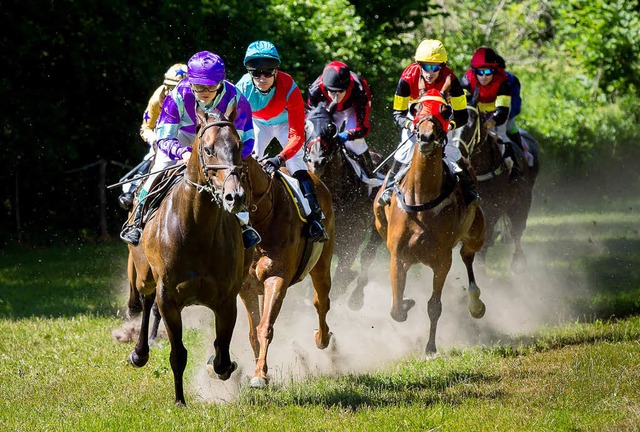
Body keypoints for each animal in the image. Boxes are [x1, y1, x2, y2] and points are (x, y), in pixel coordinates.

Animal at [126, 107, 251, 404]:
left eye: (239, 146)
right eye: (207, 149)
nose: (235, 196)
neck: (196, 230)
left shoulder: (227, 298)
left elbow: (222, 353)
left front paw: (222, 364)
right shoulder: (168, 297)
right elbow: (178, 354)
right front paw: (179, 400)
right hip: (145, 276)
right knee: (146, 301)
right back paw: (139, 352)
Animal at [239, 155, 336, 388]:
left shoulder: (278, 278)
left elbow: (265, 326)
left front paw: (260, 375)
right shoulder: (246, 287)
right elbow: (253, 332)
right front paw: (259, 370)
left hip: (321, 263)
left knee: (322, 302)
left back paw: (322, 338)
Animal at [304, 103, 384, 308]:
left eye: (331, 128)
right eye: (305, 127)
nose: (316, 161)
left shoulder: (352, 240)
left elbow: (341, 277)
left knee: (368, 255)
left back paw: (356, 298)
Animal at [370, 92, 484, 354]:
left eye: (444, 111)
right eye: (417, 108)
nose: (425, 137)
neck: (421, 197)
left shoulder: (442, 259)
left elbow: (434, 305)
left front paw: (430, 348)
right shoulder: (398, 256)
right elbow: (396, 309)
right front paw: (407, 301)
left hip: (476, 232)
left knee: (467, 254)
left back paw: (476, 302)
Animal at [450, 103, 540, 272]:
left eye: (472, 125)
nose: (458, 153)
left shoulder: (492, 211)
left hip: (523, 200)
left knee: (517, 229)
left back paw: (518, 262)